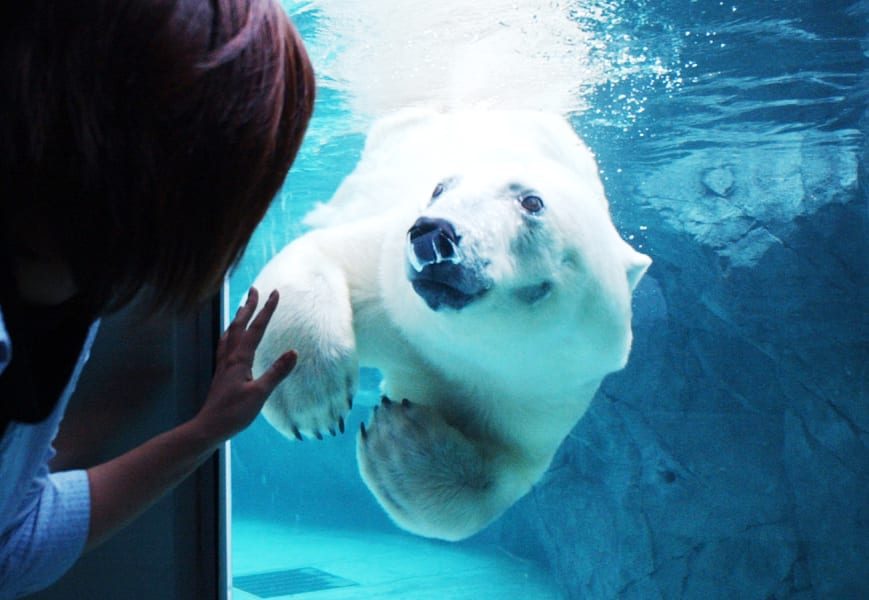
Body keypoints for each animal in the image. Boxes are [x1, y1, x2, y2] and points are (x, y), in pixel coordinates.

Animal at [251, 108, 651, 541]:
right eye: (438, 188)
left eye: (532, 201)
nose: (433, 232)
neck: (466, 347)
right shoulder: (392, 285)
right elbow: (323, 255)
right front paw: (309, 401)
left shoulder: (539, 390)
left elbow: (504, 473)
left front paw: (398, 440)